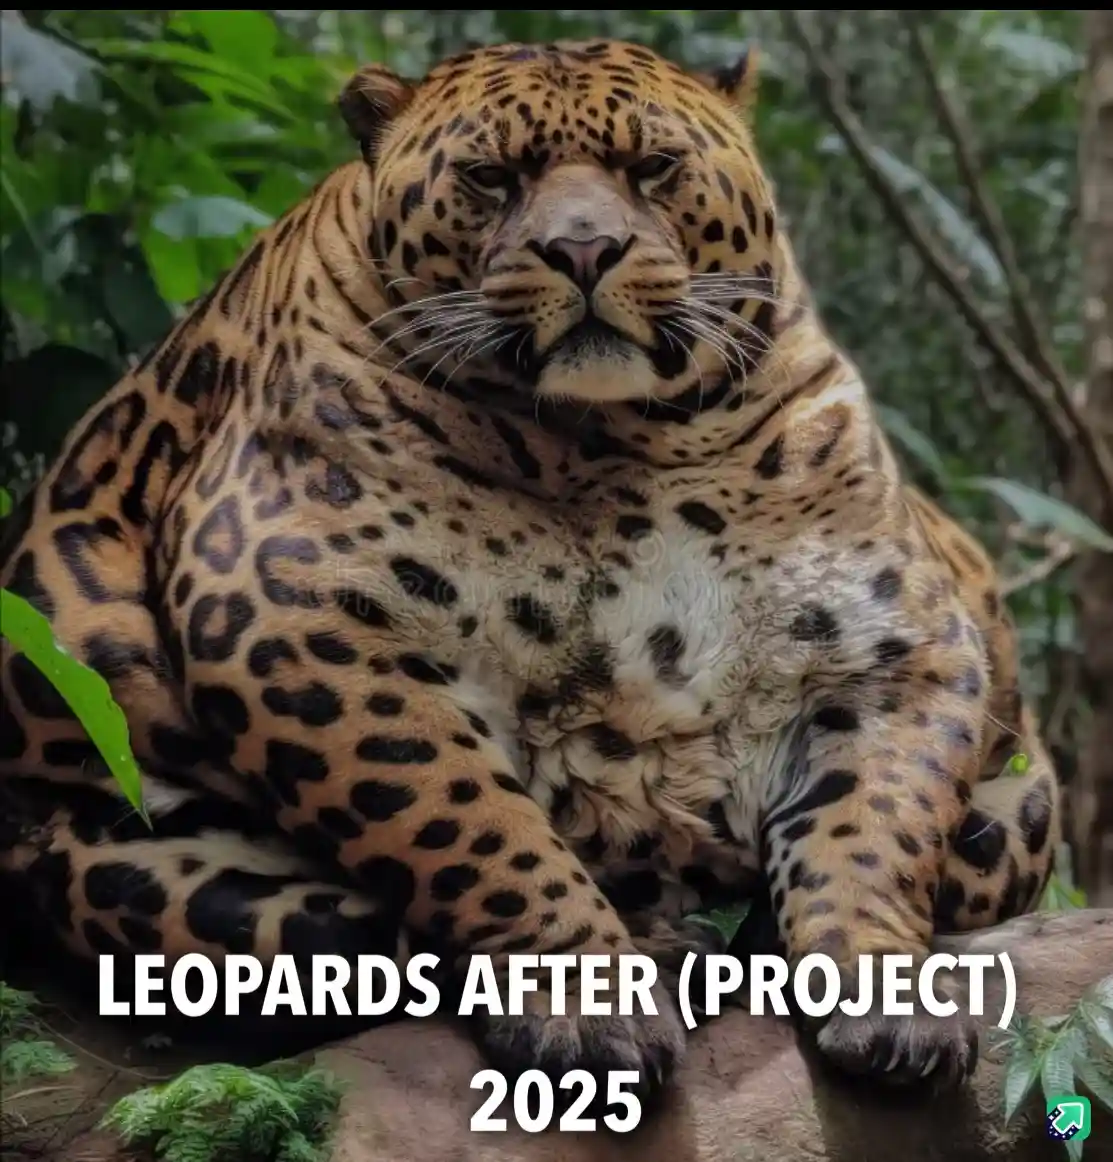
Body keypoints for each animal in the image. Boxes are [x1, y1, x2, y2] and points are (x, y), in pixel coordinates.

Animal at [0, 38, 1061, 1114]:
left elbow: (871, 824)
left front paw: (889, 995)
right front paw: (588, 1001)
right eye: (490, 178)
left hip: (1023, 807)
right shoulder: (281, 608)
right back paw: (669, 946)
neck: (628, 440)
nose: (583, 251)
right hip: (106, 850)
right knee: (343, 937)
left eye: (652, 168)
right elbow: (463, 818)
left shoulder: (892, 641)